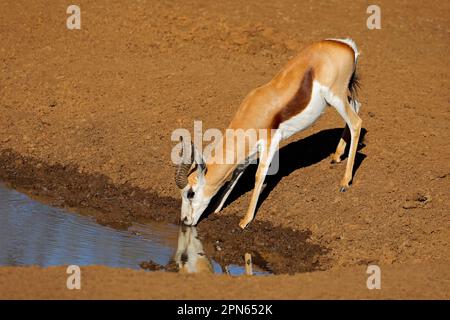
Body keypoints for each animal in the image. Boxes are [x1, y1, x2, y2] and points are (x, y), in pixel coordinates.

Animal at [175, 38, 362, 229]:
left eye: (190, 193)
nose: (185, 220)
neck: (253, 112)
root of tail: (346, 45)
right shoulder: (249, 153)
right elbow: (234, 176)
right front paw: (217, 208)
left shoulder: (270, 142)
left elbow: (259, 176)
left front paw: (245, 220)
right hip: (339, 98)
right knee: (356, 106)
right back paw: (337, 156)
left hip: (335, 97)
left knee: (356, 123)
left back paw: (345, 182)